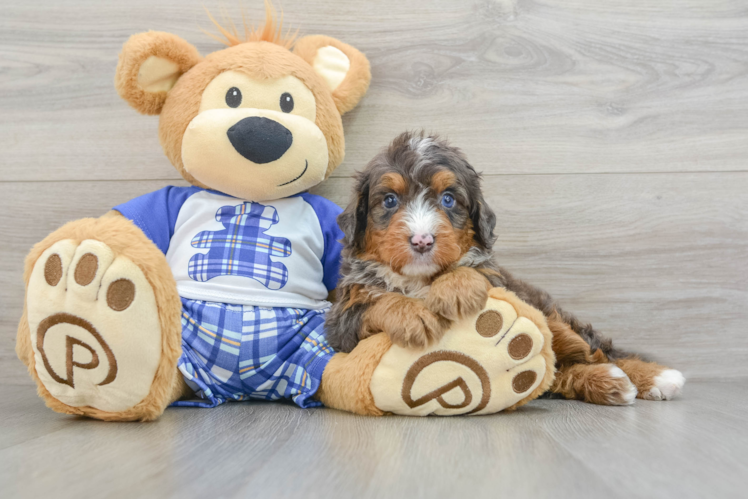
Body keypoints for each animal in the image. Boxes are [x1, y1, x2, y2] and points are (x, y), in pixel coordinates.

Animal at [324, 131, 688, 404]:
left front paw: (456, 290)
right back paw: (612, 383)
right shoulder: (342, 320)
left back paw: (653, 377)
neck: (420, 280)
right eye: (389, 200)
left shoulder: (496, 279)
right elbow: (379, 301)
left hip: (549, 315)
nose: (423, 241)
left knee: (592, 351)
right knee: (557, 371)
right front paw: (414, 315)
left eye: (448, 199)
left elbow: (471, 271)